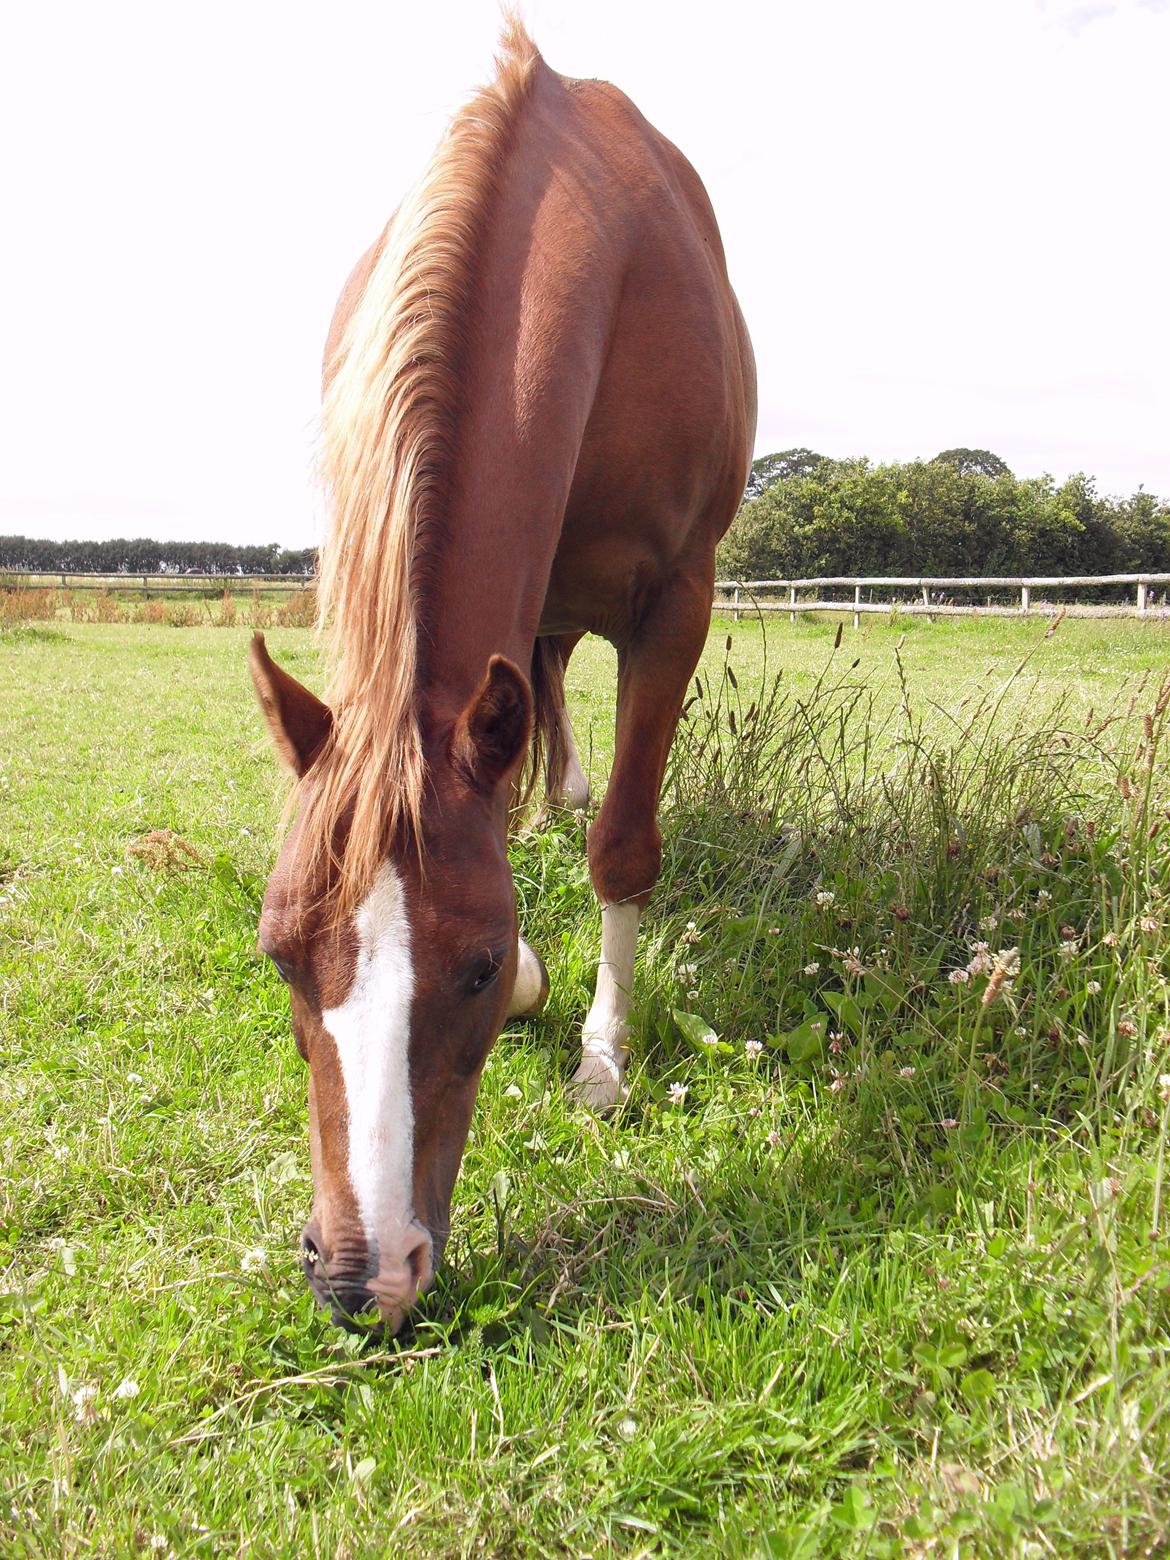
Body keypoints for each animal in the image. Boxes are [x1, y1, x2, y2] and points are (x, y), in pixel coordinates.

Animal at [251, 18, 755, 1335]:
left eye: (473, 965)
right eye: (277, 954)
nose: (359, 1275)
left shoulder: (677, 599)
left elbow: (624, 845)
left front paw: (602, 1059)